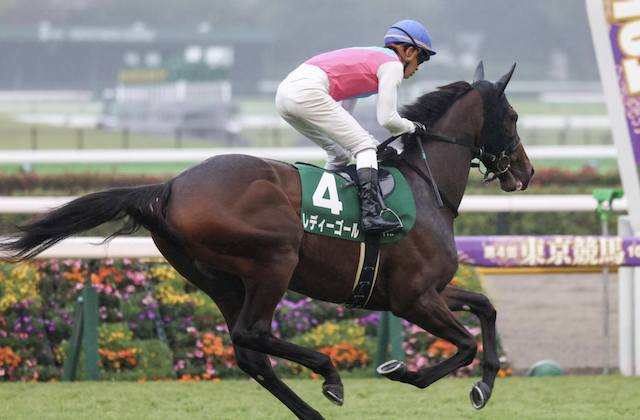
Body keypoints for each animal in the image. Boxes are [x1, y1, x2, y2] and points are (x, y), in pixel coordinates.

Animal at [0, 61, 533, 420]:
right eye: (513, 117)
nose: (525, 173)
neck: (426, 186)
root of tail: (168, 187)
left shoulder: (431, 290)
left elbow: (486, 309)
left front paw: (484, 386)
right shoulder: (413, 297)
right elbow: (464, 343)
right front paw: (402, 372)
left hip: (218, 279)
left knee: (247, 350)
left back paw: (314, 407)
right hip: (274, 261)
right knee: (251, 334)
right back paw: (329, 372)